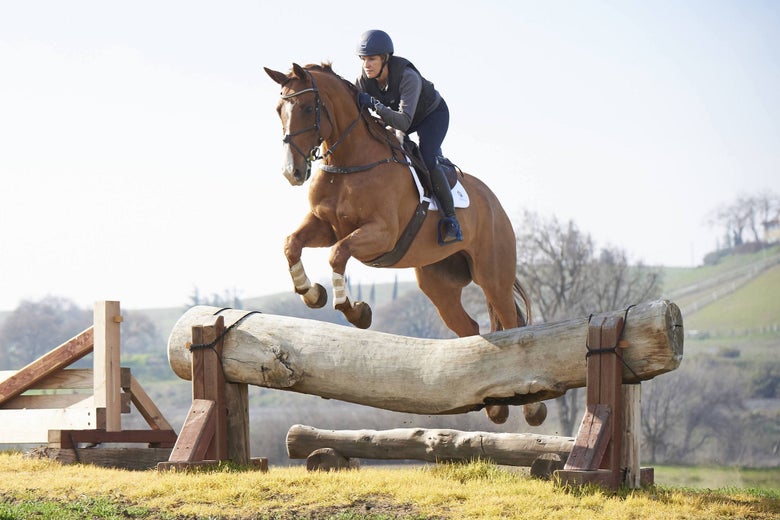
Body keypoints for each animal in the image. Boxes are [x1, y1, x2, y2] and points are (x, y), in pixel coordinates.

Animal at [264, 62, 545, 426]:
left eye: (309, 108)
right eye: (278, 109)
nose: (292, 172)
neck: (350, 161)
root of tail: (495, 203)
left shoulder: (380, 234)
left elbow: (337, 255)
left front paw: (354, 311)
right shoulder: (326, 226)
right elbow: (292, 244)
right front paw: (312, 293)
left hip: (493, 275)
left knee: (511, 323)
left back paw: (533, 408)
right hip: (438, 284)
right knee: (470, 328)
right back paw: (495, 405)